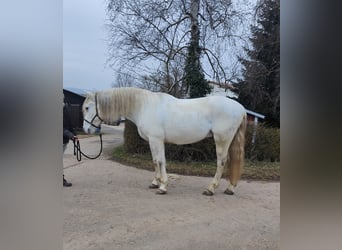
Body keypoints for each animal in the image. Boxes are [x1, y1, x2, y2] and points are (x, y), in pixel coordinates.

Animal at [82, 88, 246, 195]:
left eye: (87, 107)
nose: (86, 129)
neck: (144, 106)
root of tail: (241, 108)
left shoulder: (156, 139)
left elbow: (161, 161)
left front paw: (163, 186)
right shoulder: (152, 141)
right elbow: (155, 161)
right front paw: (155, 183)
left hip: (221, 140)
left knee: (222, 162)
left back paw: (211, 189)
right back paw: (230, 188)